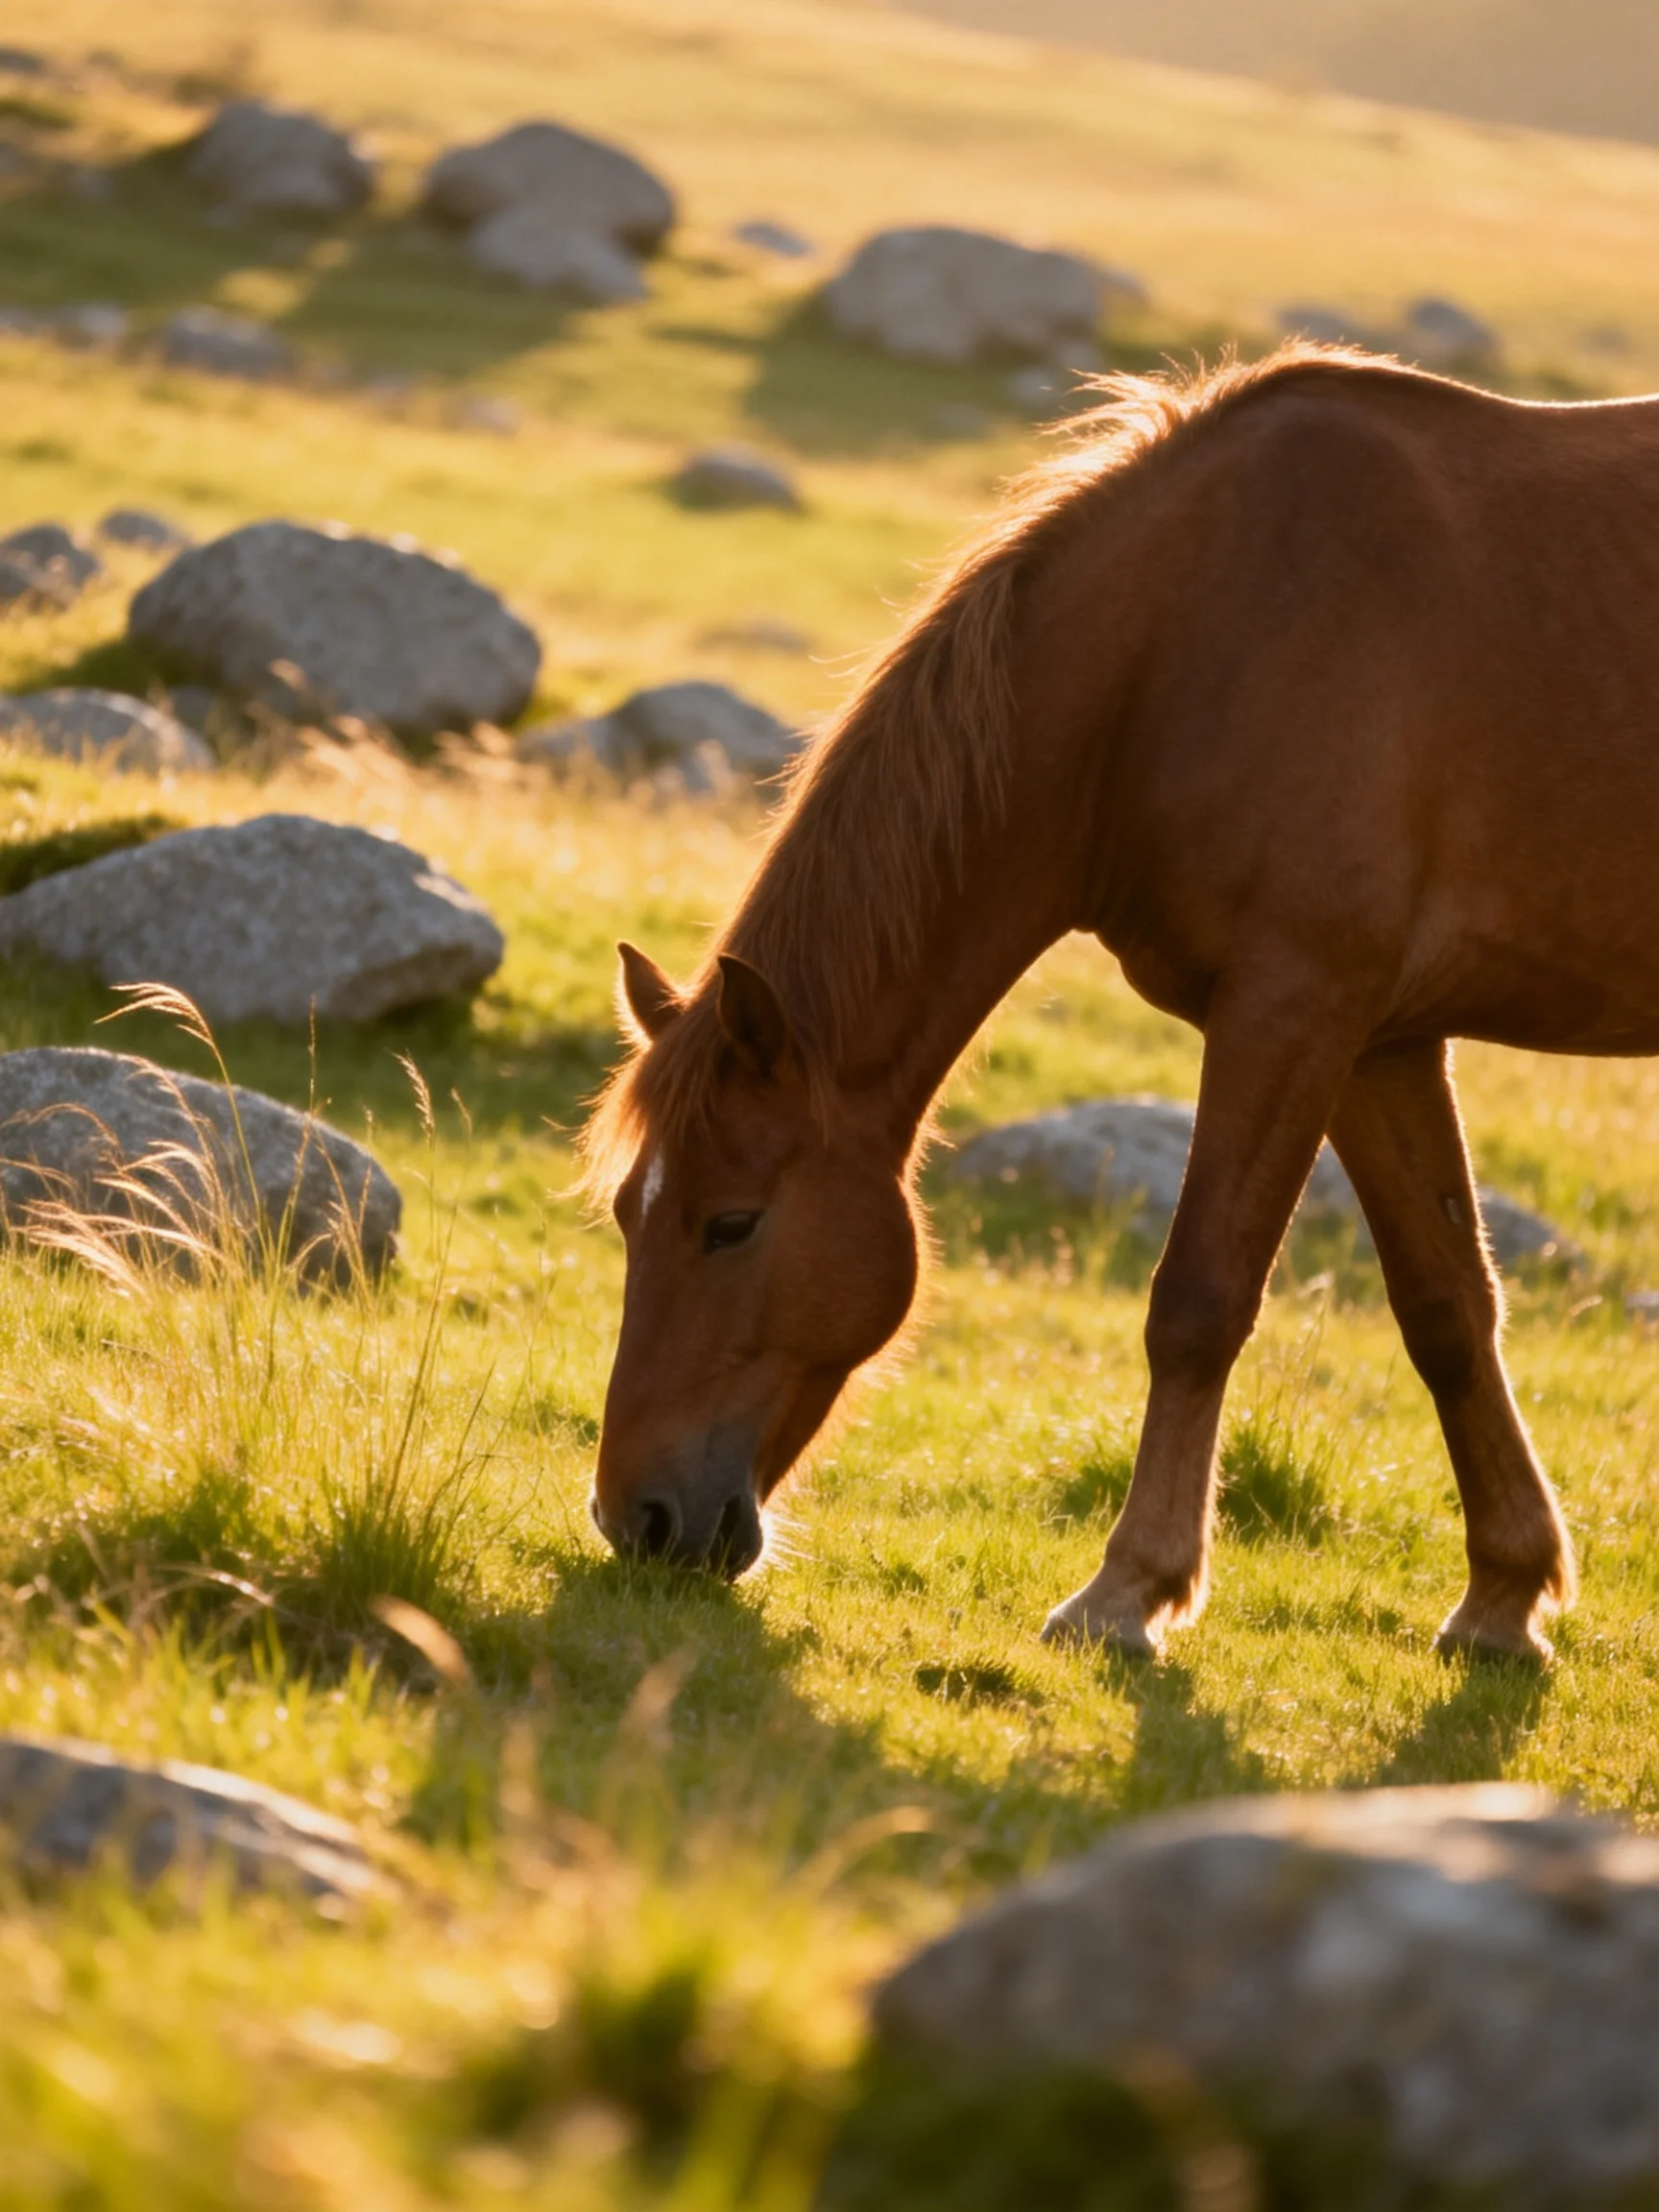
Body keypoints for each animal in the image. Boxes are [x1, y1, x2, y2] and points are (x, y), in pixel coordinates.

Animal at [578, 337, 1659, 1663]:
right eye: (629, 1213)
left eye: (730, 1224)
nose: (638, 1518)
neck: (1197, 634)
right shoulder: (1382, 1041)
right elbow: (1448, 1306)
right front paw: (1506, 1593)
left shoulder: (1292, 1006)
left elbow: (1197, 1299)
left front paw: (1128, 1590)